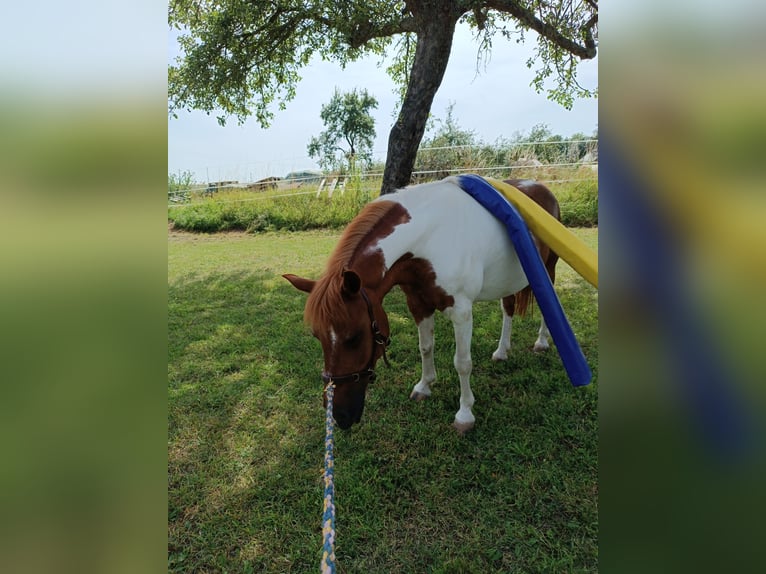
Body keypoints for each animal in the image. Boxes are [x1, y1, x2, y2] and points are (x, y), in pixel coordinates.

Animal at [284, 176, 560, 432]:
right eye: (317, 336)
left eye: (354, 337)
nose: (339, 416)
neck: (431, 239)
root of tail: (539, 186)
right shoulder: (418, 304)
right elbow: (425, 347)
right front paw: (424, 386)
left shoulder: (461, 312)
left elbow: (462, 362)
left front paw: (464, 414)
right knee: (508, 308)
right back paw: (502, 351)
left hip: (548, 270)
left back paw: (541, 342)